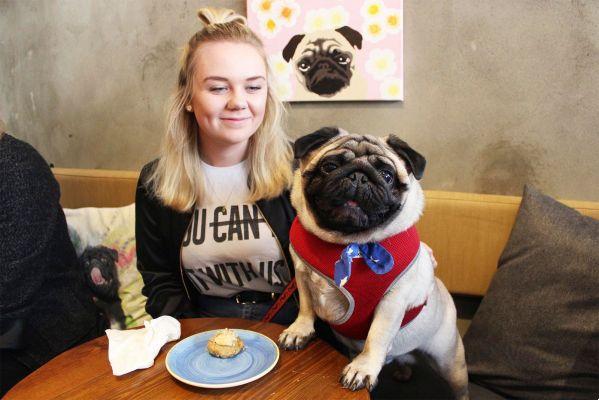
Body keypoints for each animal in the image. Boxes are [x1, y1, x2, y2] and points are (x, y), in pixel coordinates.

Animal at [278, 126, 472, 398]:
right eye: (329, 166)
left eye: (386, 175)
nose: (358, 176)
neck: (348, 242)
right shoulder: (302, 276)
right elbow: (306, 308)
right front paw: (299, 331)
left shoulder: (392, 302)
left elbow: (376, 337)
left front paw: (363, 368)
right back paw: (403, 371)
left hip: (450, 361)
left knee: (459, 385)